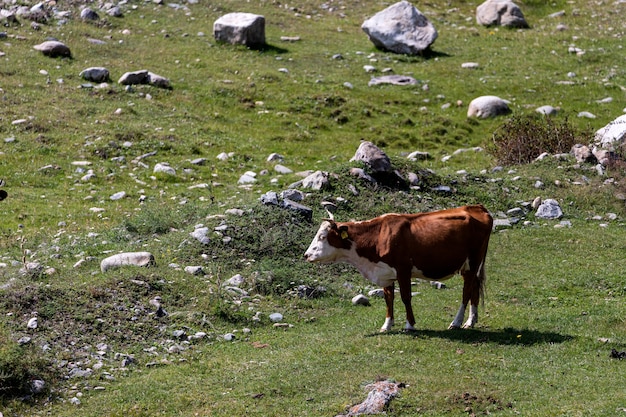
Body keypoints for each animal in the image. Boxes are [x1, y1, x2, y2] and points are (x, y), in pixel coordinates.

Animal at [304, 205, 492, 332]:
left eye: (322, 237)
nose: (306, 255)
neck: (378, 236)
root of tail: (476, 207)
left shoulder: (403, 270)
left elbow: (405, 298)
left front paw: (410, 324)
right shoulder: (385, 273)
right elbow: (389, 299)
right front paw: (387, 325)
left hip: (472, 262)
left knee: (466, 291)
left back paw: (456, 322)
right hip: (471, 266)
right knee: (474, 288)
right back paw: (471, 321)